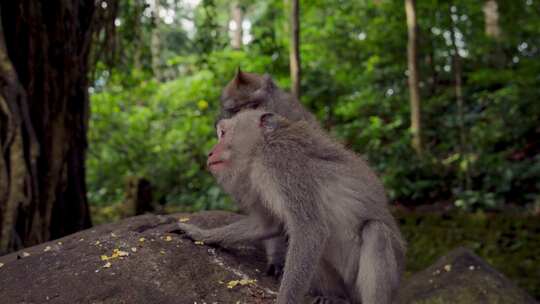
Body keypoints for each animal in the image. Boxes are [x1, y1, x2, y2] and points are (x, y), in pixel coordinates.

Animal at [178, 110, 404, 304]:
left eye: (223, 134)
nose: (209, 153)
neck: (260, 149)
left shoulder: (282, 163)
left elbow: (309, 230)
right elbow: (269, 225)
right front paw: (202, 234)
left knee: (376, 231)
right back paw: (334, 297)